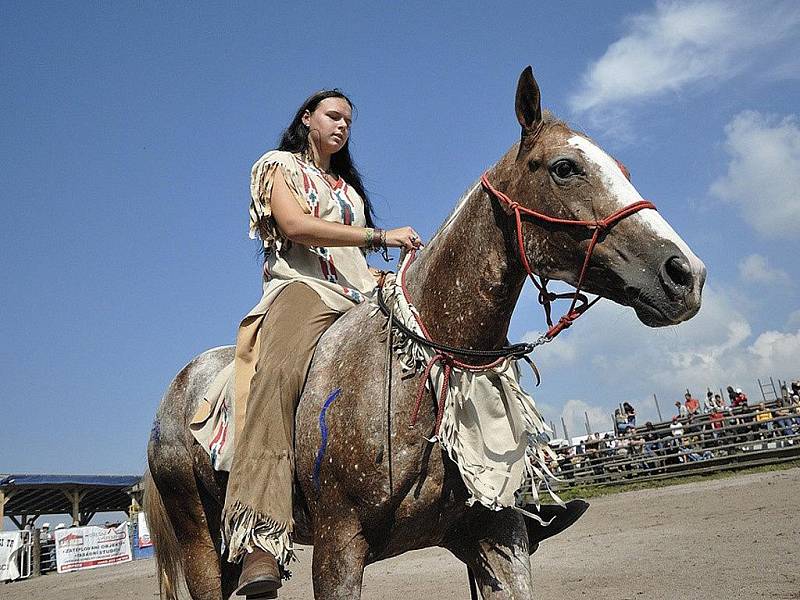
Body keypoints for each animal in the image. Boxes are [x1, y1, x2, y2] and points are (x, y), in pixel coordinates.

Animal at [144, 67, 708, 600]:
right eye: (565, 167)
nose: (686, 274)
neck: (417, 367)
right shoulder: (337, 549)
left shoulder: (494, 537)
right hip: (200, 541)